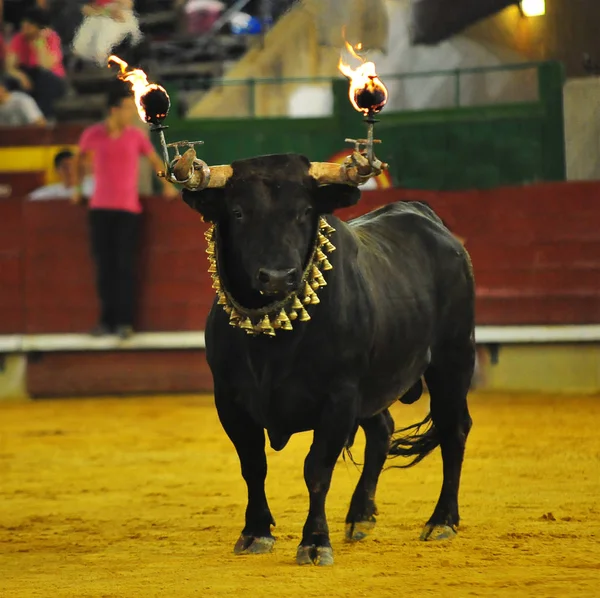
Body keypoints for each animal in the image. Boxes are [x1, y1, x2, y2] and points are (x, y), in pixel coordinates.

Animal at [180, 154, 476, 568]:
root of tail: (425, 215)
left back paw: (441, 521)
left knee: (453, 430)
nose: (278, 277)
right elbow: (253, 465)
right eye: (237, 212)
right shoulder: (229, 400)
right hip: (378, 384)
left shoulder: (339, 397)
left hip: (453, 359)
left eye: (305, 211)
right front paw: (255, 532)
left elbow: (317, 469)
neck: (273, 344)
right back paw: (360, 516)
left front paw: (315, 541)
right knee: (382, 430)